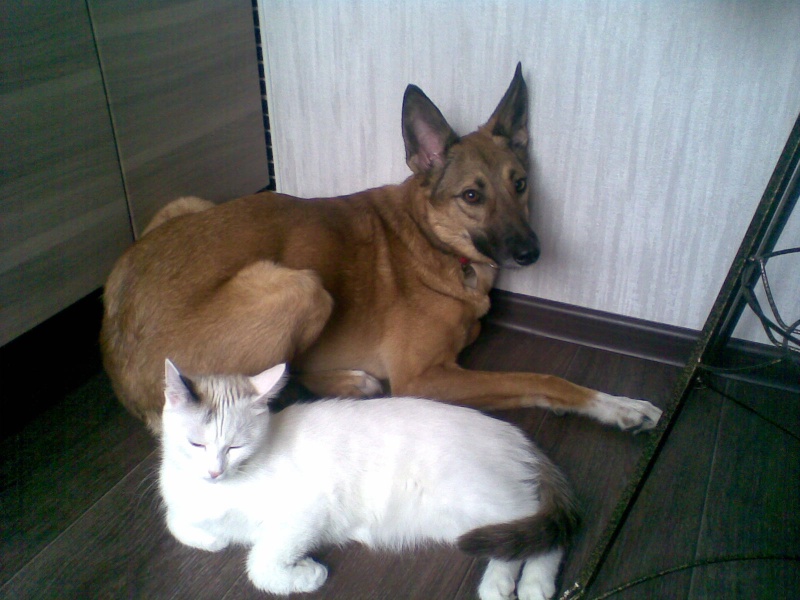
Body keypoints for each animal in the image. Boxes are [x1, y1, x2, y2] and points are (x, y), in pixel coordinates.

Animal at [101, 64, 662, 434]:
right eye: (472, 196)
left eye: (520, 184)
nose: (531, 252)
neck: (436, 241)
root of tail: (115, 357)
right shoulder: (425, 378)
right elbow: (541, 378)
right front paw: (617, 405)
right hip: (299, 286)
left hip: (188, 206)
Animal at [158, 359, 580, 600]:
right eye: (196, 443)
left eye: (236, 446)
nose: (215, 471)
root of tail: (516, 435)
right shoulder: (185, 505)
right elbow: (176, 522)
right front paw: (213, 540)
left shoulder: (303, 514)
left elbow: (260, 565)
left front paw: (307, 575)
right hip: (464, 521)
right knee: (514, 542)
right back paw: (502, 583)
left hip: (477, 500)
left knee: (546, 533)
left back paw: (531, 585)